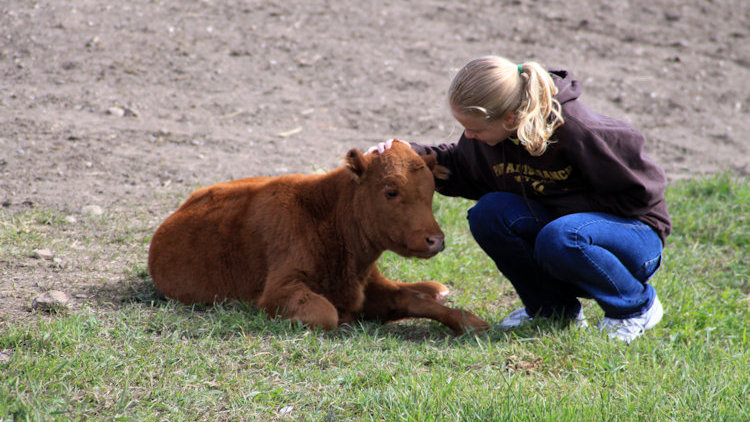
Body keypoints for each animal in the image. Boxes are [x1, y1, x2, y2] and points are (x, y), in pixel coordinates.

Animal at [148, 141, 488, 332]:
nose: (436, 240)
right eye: (391, 191)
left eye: (431, 192)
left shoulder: (365, 287)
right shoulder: (280, 289)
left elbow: (411, 300)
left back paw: (434, 287)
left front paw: (470, 321)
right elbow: (325, 313)